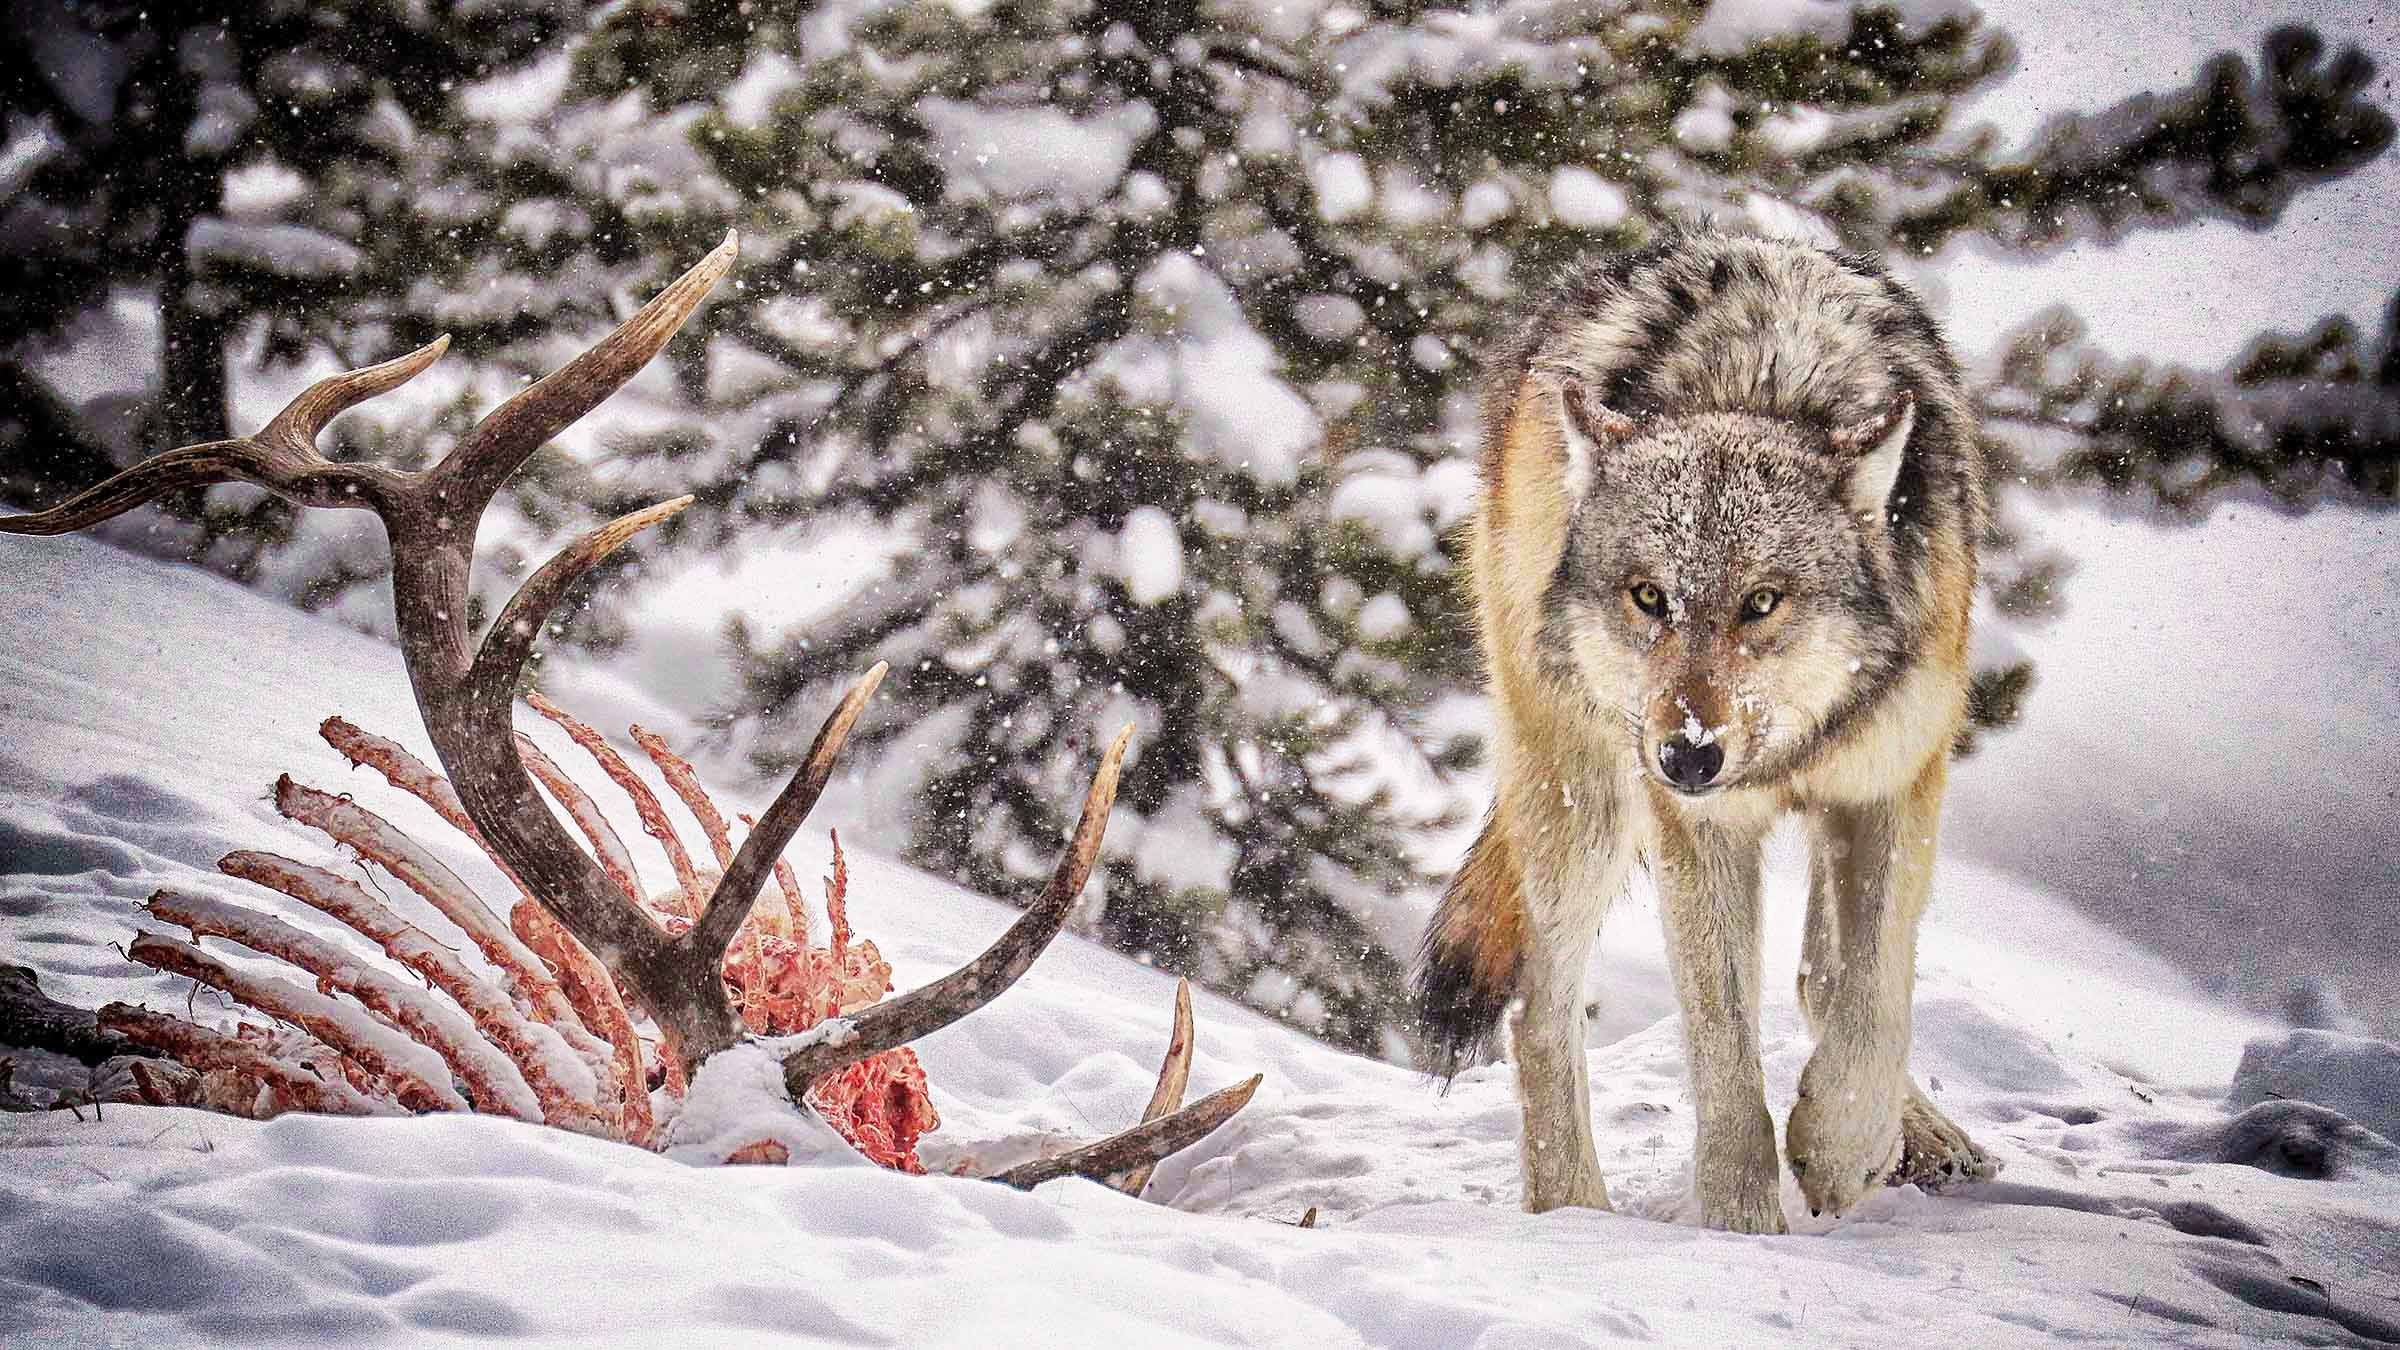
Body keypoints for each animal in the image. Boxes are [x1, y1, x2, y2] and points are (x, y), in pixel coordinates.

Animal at [1413, 230, 1996, 1233]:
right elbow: (1725, 1056)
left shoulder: (1892, 787)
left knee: (1824, 975)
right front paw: (1741, 1224)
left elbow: (1872, 1000)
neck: (1761, 384)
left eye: (1762, 602)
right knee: (1539, 1012)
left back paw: (1918, 1134)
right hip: (1584, 792)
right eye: (1651, 597)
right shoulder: (1701, 826)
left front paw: (1841, 1147)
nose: (1687, 753)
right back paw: (1574, 1210)